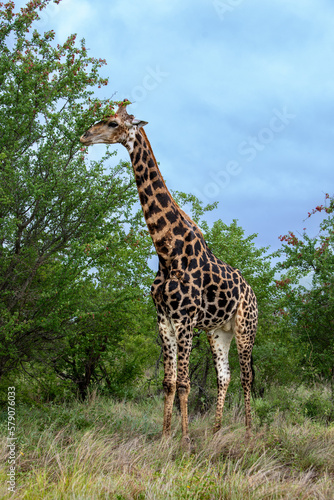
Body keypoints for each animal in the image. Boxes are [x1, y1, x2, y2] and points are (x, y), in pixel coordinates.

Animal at [79, 101, 258, 446]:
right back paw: (216, 431)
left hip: (246, 327)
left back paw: (248, 433)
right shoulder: (163, 319)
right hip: (219, 331)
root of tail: (253, 291)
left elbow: (185, 382)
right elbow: (169, 382)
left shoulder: (185, 318)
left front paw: (185, 439)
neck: (167, 252)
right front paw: (164, 435)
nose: (84, 136)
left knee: (247, 376)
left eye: (112, 123)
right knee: (224, 376)